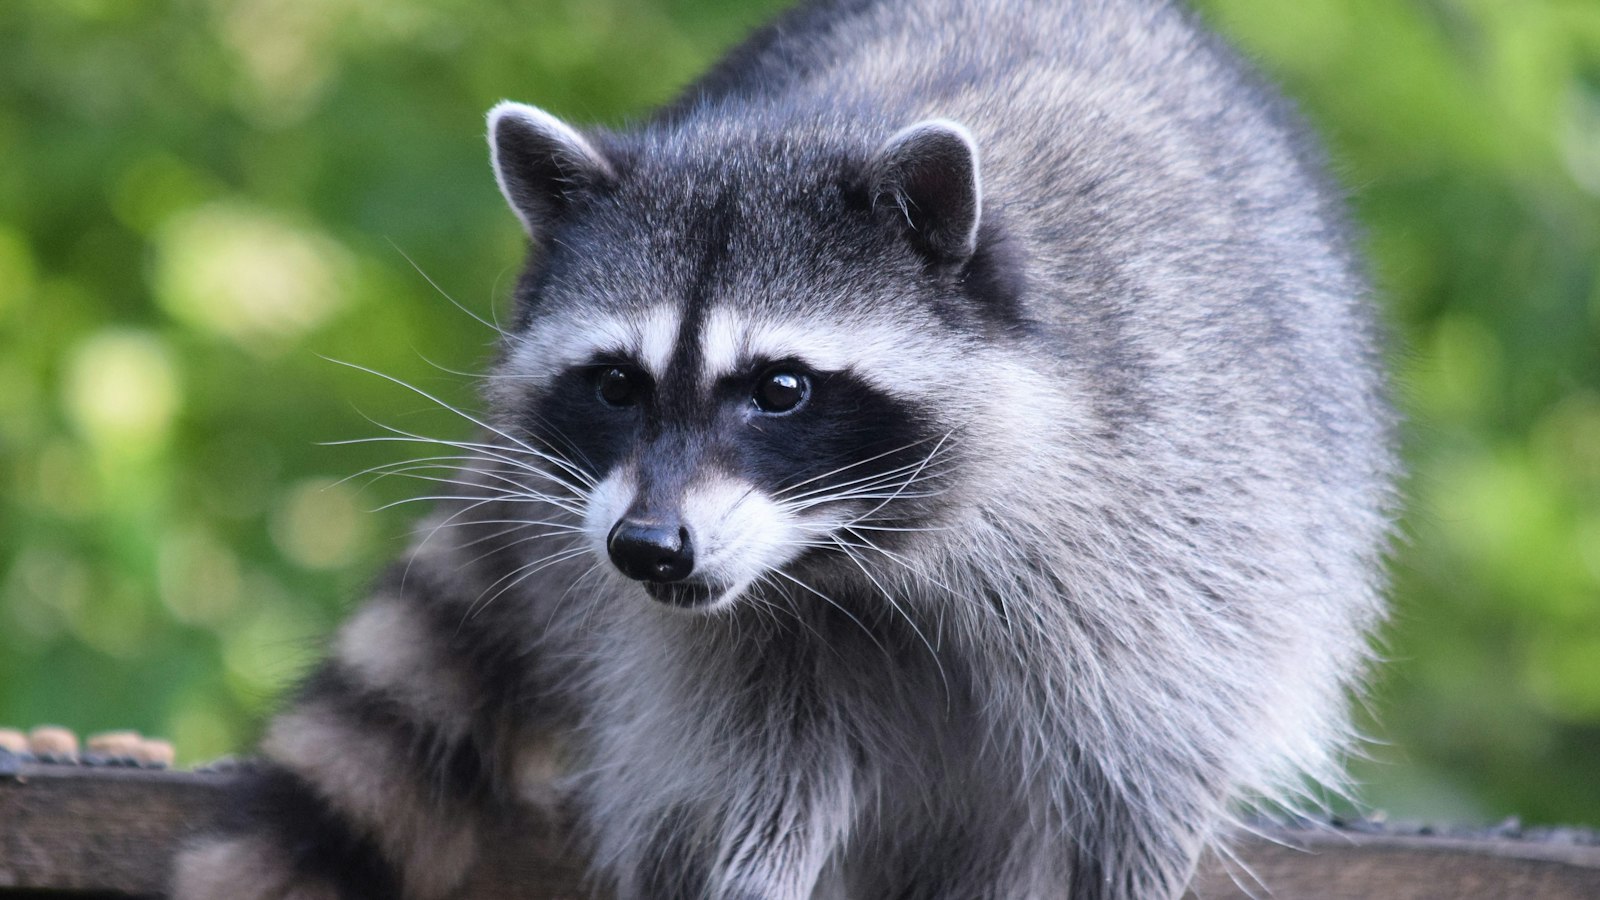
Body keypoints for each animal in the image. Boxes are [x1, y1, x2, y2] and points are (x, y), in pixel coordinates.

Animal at [171, 0, 1395, 897]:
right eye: (615, 384)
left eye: (782, 391)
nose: (646, 548)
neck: (856, 552)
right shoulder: (729, 647)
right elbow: (759, 795)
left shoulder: (1173, 523)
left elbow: (1138, 786)